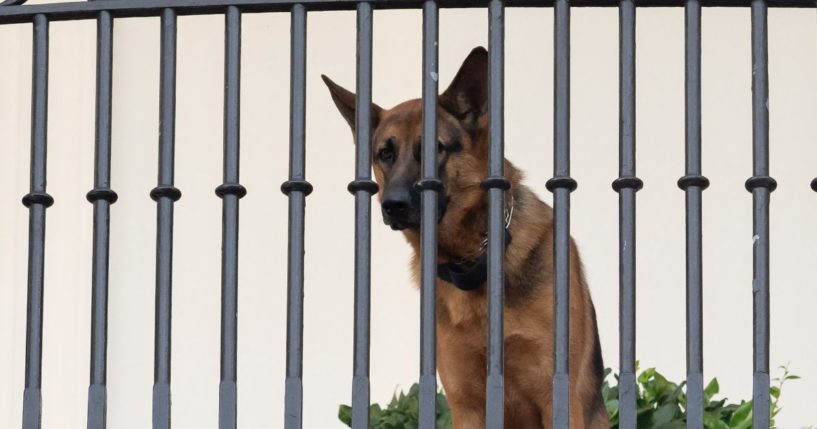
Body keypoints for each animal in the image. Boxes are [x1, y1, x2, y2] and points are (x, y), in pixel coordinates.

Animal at [322, 46, 608, 428]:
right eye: (385, 153)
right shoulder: (467, 407)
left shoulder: (557, 398)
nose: (392, 206)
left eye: (435, 148)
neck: (472, 258)